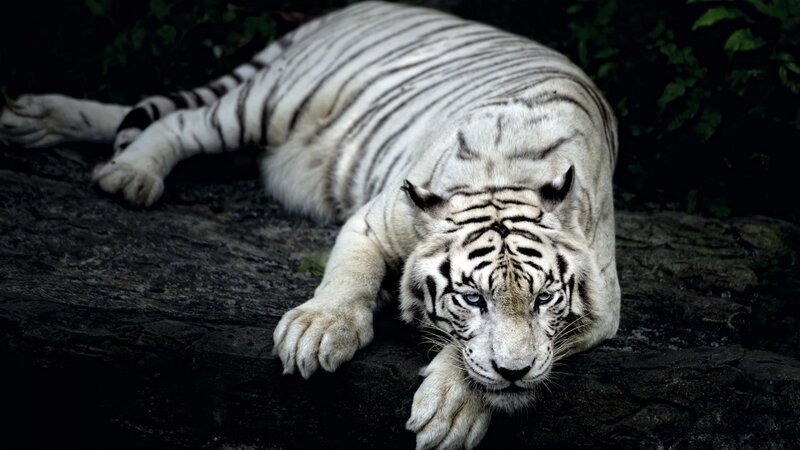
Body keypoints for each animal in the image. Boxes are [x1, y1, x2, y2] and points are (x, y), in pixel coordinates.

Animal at [0, 2, 620, 448]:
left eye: (544, 299)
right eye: (473, 299)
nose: (515, 372)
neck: (505, 173)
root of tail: (354, 7)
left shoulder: (604, 305)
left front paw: (454, 406)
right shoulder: (372, 220)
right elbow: (345, 281)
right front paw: (317, 332)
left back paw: (32, 121)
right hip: (270, 101)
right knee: (175, 120)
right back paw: (127, 172)